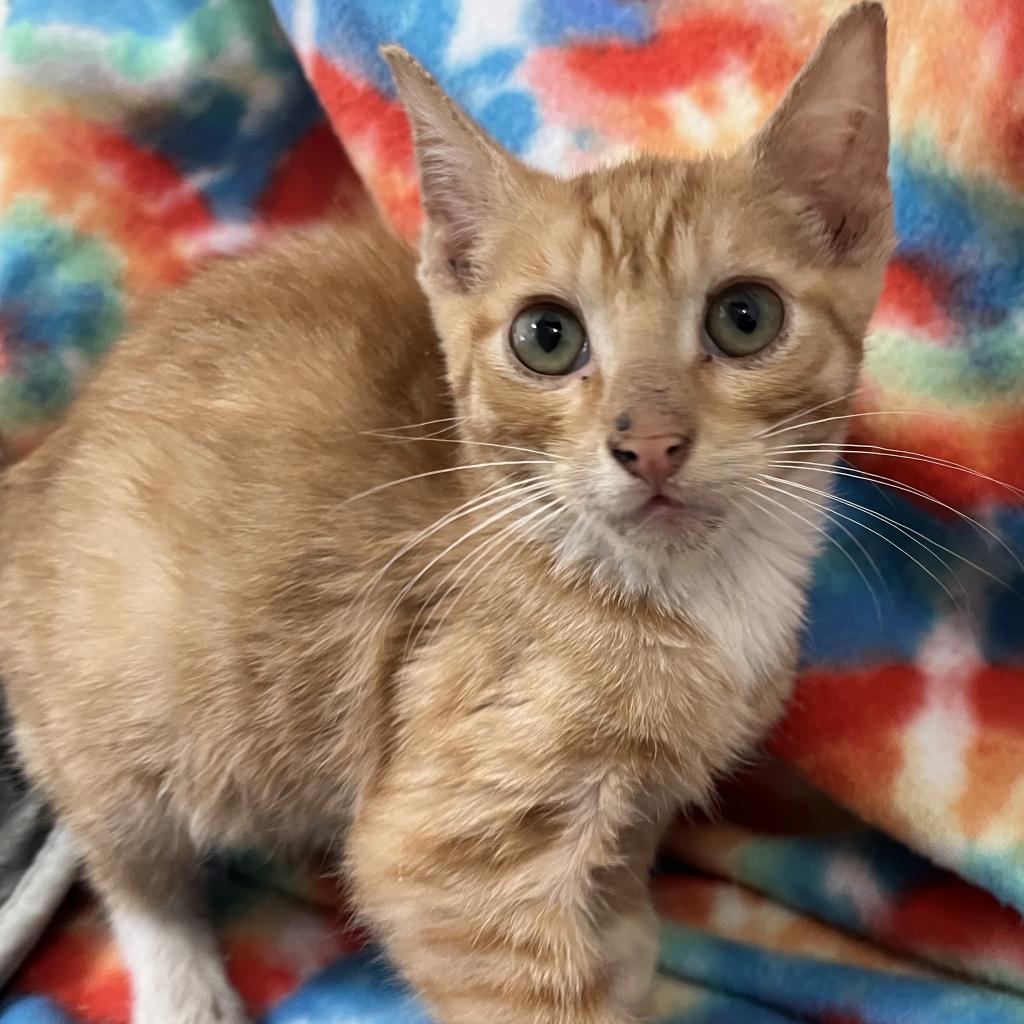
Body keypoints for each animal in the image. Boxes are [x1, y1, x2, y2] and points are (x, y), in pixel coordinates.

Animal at [0, 8, 888, 1024]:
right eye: (547, 338)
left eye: (746, 318)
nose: (651, 443)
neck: (698, 596)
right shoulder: (441, 855)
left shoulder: (634, 801)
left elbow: (615, 884)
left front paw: (625, 941)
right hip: (124, 692)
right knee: (120, 849)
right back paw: (181, 979)